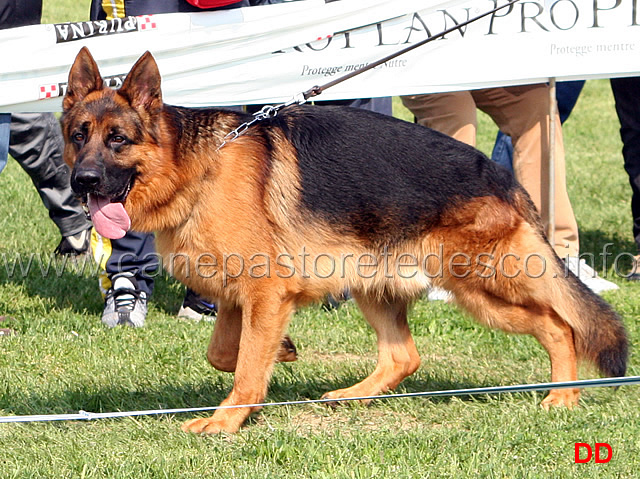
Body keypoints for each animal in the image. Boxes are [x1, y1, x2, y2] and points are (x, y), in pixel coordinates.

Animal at [62, 47, 628, 436]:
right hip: (373, 285)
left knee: (559, 326)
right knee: (404, 358)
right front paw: (283, 351)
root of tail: (501, 176)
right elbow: (225, 353)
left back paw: (562, 398)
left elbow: (244, 367)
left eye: (118, 140)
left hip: (477, 287)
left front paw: (224, 422)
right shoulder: (238, 296)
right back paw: (354, 396)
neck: (196, 166)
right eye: (78, 136)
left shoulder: (264, 293)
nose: (83, 182)